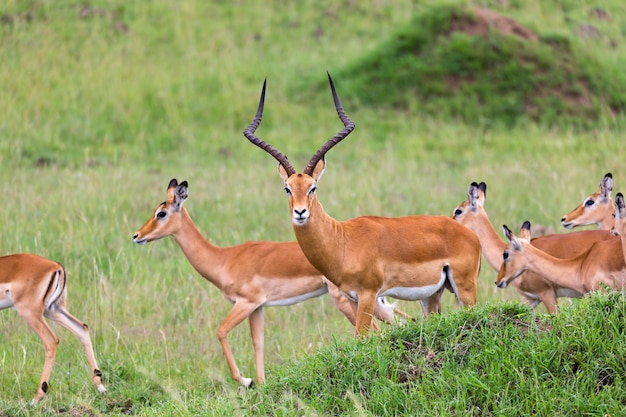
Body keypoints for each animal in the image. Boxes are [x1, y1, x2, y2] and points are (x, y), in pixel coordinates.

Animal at [0, 254, 106, 404]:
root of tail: (56, 265)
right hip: (53, 309)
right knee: (82, 328)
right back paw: (100, 386)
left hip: (31, 312)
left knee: (51, 340)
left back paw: (36, 398)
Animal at [133, 177, 402, 386]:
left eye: (161, 213)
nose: (136, 236)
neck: (224, 259)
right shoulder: (258, 307)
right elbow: (258, 342)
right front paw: (260, 384)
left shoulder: (246, 302)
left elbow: (221, 331)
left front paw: (246, 380)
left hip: (350, 301)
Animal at [241, 74, 480, 334]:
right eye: (288, 188)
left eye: (313, 187)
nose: (300, 212)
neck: (343, 241)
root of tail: (469, 235)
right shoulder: (352, 297)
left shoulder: (368, 294)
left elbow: (362, 336)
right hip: (431, 295)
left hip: (464, 288)